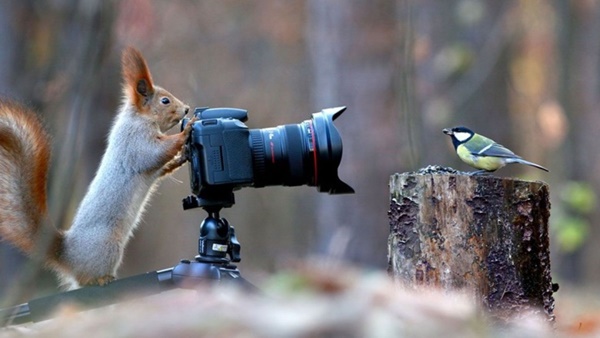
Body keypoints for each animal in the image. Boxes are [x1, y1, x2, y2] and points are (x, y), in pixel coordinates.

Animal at [0, 46, 193, 288]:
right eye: (165, 101)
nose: (187, 109)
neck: (139, 118)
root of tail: (68, 256)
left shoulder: (150, 163)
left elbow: (160, 168)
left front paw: (181, 156)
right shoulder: (134, 142)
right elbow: (154, 153)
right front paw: (186, 132)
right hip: (109, 246)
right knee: (86, 280)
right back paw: (102, 279)